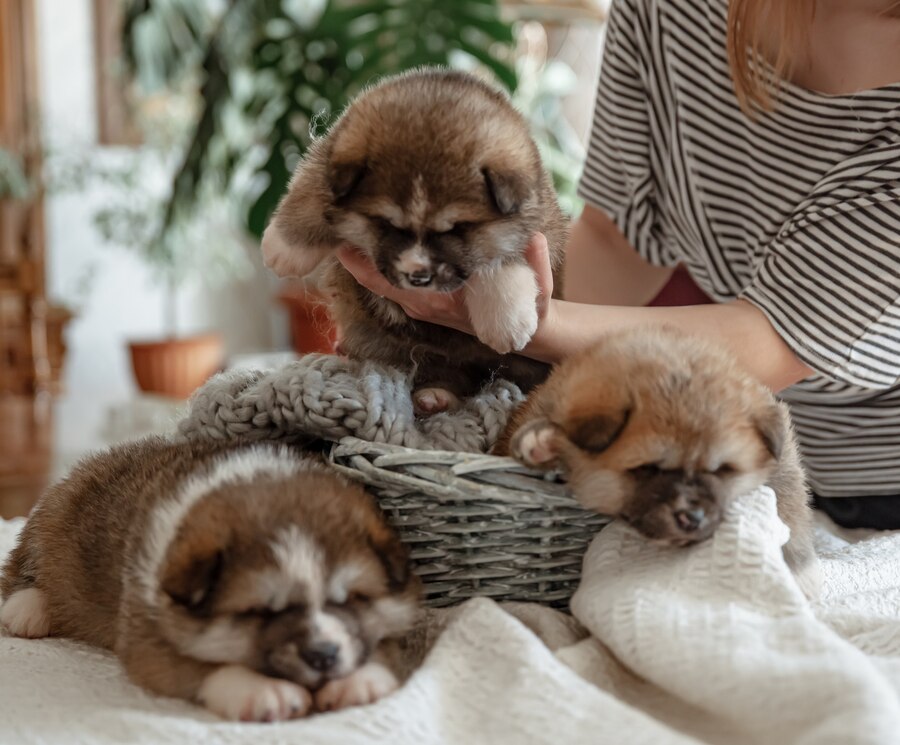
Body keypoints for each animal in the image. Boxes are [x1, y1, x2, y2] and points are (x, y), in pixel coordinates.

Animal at [0, 436, 422, 720]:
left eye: (353, 598)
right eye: (258, 612)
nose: (323, 655)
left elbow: (386, 643)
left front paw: (361, 679)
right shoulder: (145, 634)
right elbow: (197, 666)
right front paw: (264, 690)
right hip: (51, 514)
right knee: (20, 568)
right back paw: (28, 609)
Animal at [262, 67, 568, 416]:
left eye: (458, 228)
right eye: (386, 224)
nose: (418, 275)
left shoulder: (539, 224)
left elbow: (500, 258)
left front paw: (506, 321)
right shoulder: (330, 157)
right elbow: (312, 189)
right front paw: (283, 246)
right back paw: (436, 395)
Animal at [492, 326, 824, 600]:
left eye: (721, 470)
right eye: (648, 468)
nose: (693, 518)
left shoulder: (782, 461)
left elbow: (790, 506)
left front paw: (800, 575)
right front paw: (543, 443)